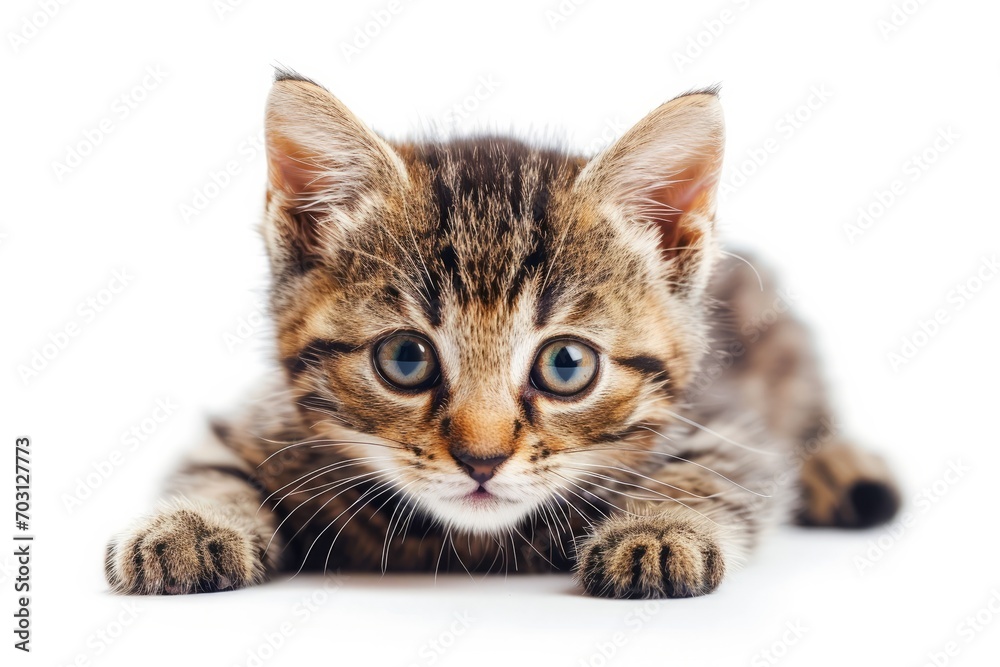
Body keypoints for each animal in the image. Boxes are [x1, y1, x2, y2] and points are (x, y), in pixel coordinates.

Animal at [105, 72, 904, 600]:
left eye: (566, 365)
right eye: (404, 358)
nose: (482, 460)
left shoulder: (724, 423)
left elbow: (714, 472)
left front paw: (657, 531)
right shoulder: (264, 418)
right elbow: (210, 464)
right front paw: (185, 525)